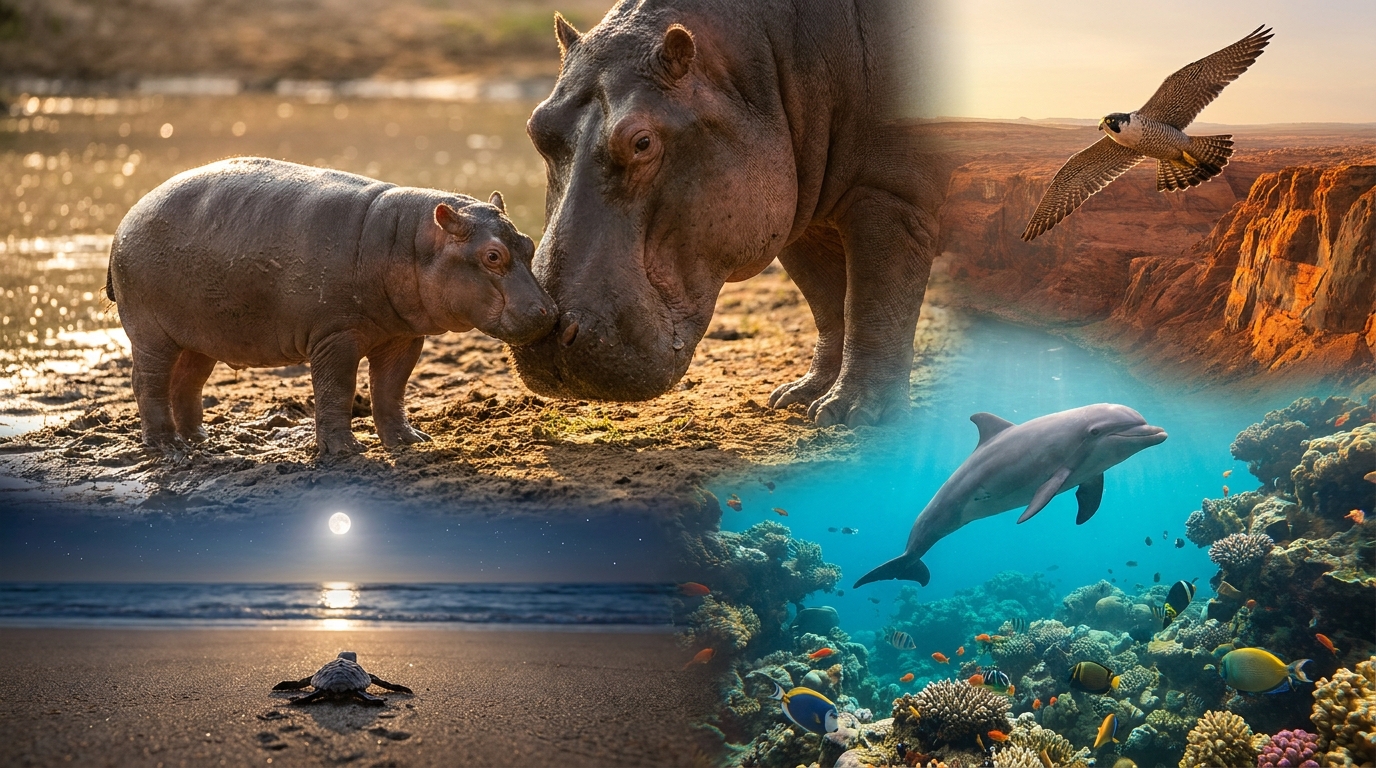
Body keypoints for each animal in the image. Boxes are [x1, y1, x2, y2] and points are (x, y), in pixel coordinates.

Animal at [106, 157, 556, 454]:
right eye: (493, 256)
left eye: (529, 243)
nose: (549, 313)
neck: (410, 242)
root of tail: (127, 218)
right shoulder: (335, 336)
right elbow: (337, 389)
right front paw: (345, 452)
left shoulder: (403, 337)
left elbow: (390, 389)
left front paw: (409, 441)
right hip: (150, 332)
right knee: (148, 383)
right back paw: (166, 447)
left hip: (201, 334)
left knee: (187, 383)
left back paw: (201, 440)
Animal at [510, 0, 941, 426]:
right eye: (535, 127)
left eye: (642, 142)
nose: (546, 335)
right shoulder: (799, 213)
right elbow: (828, 303)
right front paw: (799, 396)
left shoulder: (889, 194)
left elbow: (872, 306)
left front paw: (850, 413)